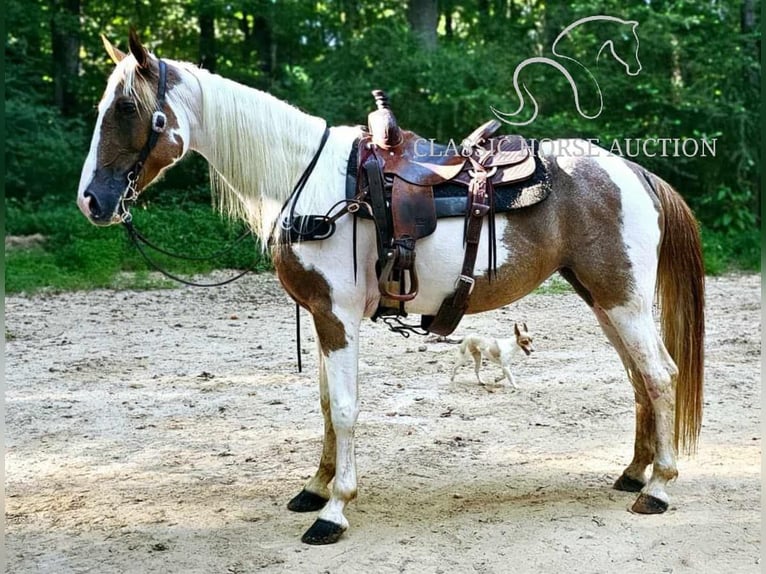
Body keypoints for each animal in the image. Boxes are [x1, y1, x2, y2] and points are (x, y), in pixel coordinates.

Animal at [75, 32, 704, 548]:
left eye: (127, 108)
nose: (92, 201)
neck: (309, 182)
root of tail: (635, 171)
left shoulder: (337, 316)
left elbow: (346, 408)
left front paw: (333, 510)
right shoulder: (324, 318)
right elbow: (325, 407)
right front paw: (315, 485)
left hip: (623, 301)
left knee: (660, 376)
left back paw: (660, 488)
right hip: (603, 301)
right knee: (639, 380)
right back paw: (635, 474)